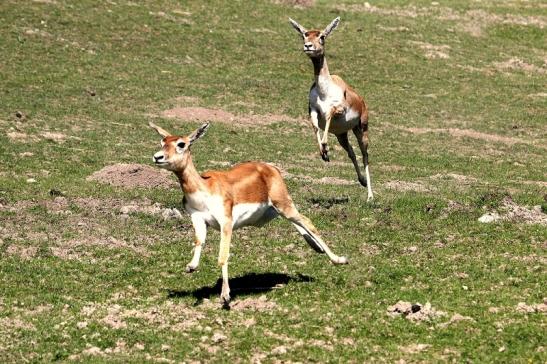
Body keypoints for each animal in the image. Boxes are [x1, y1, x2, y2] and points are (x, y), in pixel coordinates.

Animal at [149, 122, 346, 308]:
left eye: (181, 144)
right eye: (162, 142)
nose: (158, 157)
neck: (204, 189)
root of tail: (270, 168)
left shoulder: (226, 222)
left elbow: (223, 256)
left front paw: (225, 297)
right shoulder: (197, 218)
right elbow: (199, 241)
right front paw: (191, 266)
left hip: (283, 204)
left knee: (307, 221)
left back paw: (339, 259)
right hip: (274, 210)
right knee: (298, 223)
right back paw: (317, 248)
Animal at [288, 16, 374, 202]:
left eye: (322, 36)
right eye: (304, 35)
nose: (308, 46)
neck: (324, 90)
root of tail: (362, 102)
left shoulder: (337, 110)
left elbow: (328, 116)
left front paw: (325, 147)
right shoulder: (313, 111)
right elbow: (315, 126)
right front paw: (323, 152)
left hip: (361, 130)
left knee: (365, 156)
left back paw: (370, 196)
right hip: (342, 135)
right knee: (351, 153)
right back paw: (362, 181)